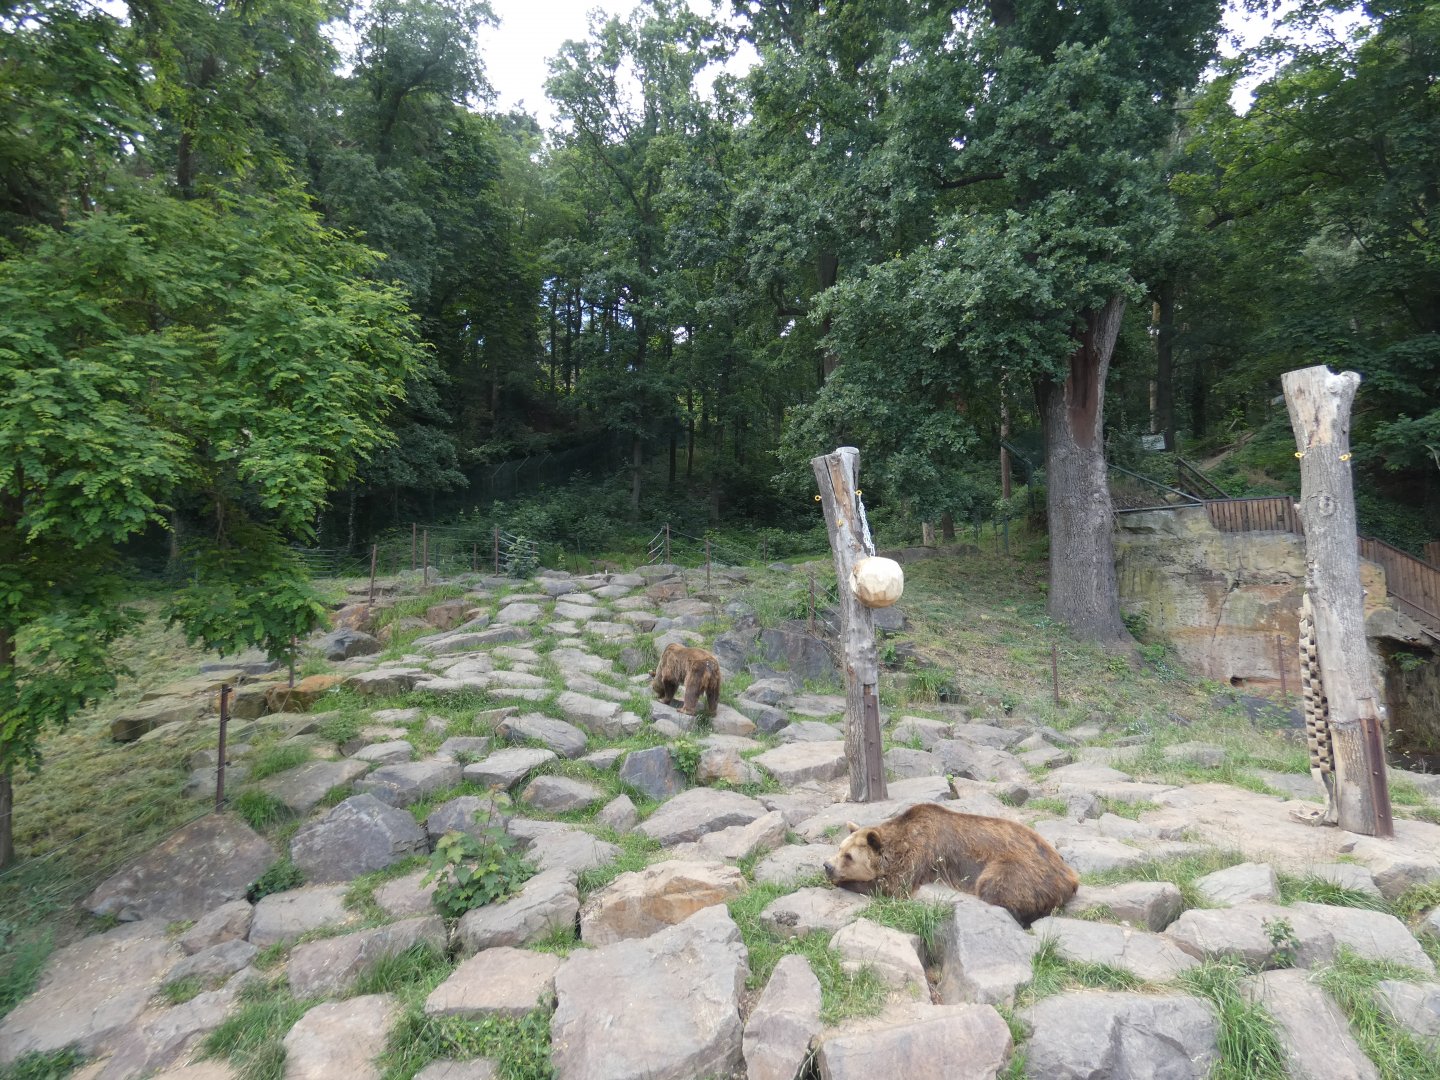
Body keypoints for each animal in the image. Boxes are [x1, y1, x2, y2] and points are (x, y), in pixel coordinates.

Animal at [823, 803, 1078, 927]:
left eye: (849, 856)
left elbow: (893, 887)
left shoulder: (920, 853)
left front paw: (848, 883)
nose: (827, 866)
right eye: (840, 848)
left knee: (995, 887)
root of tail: (1071, 878)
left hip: (1020, 869)